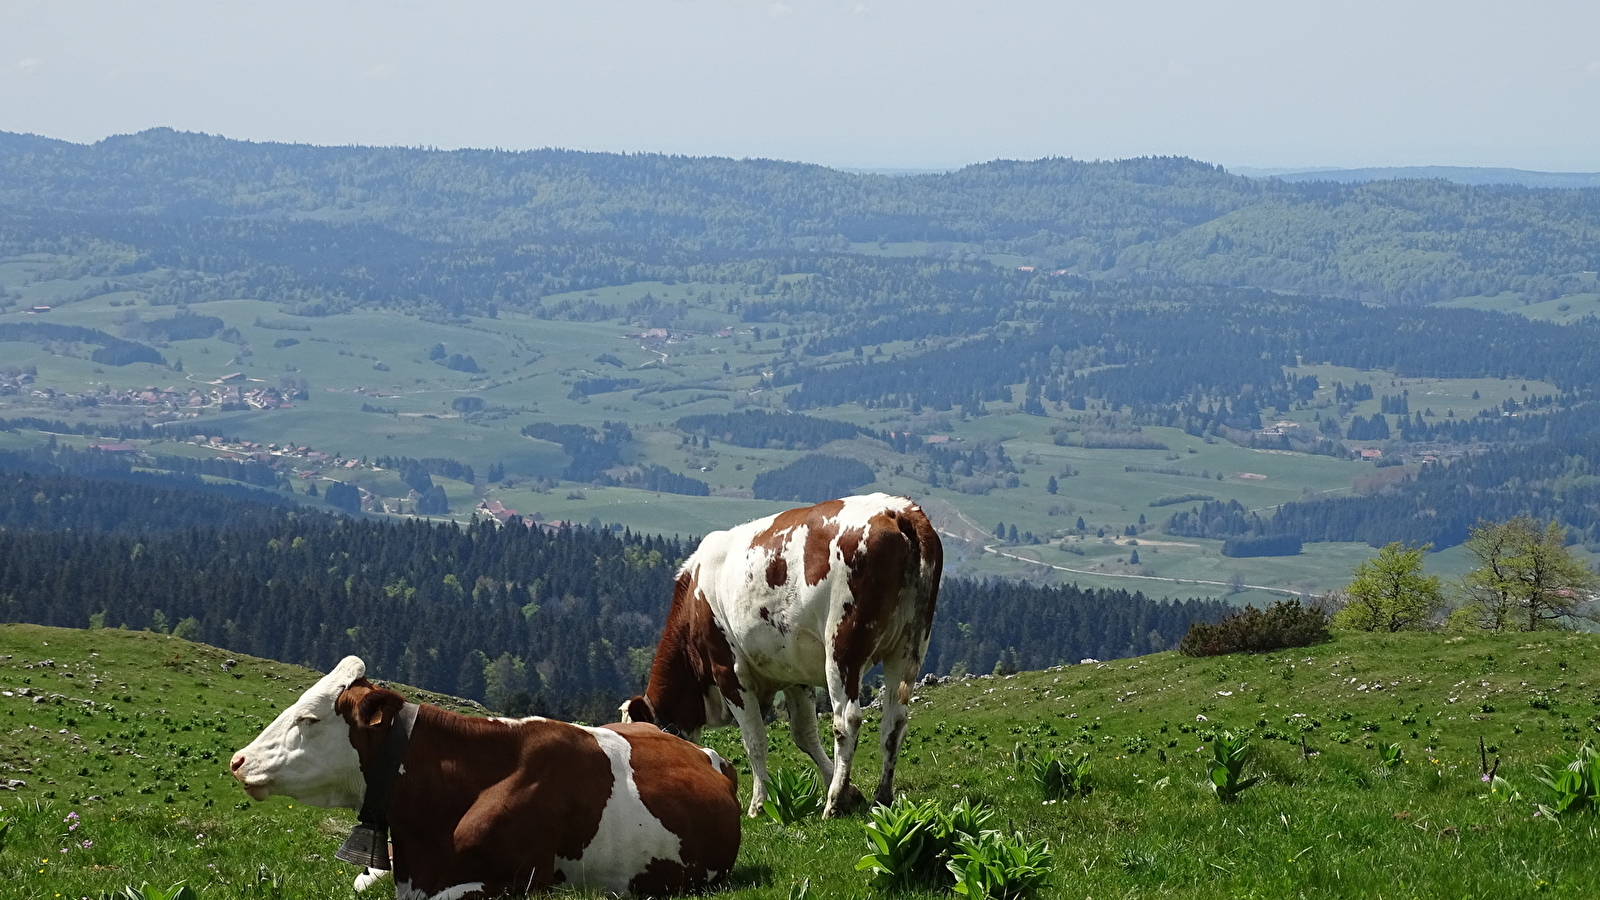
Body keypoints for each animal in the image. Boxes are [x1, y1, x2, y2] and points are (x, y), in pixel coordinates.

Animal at [614, 493, 934, 816]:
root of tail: (895, 510)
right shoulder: (793, 674)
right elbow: (804, 735)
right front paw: (851, 790)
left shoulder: (729, 672)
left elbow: (755, 742)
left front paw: (759, 803)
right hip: (909, 644)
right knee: (894, 720)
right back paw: (882, 796)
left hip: (843, 647)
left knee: (847, 720)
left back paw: (834, 802)